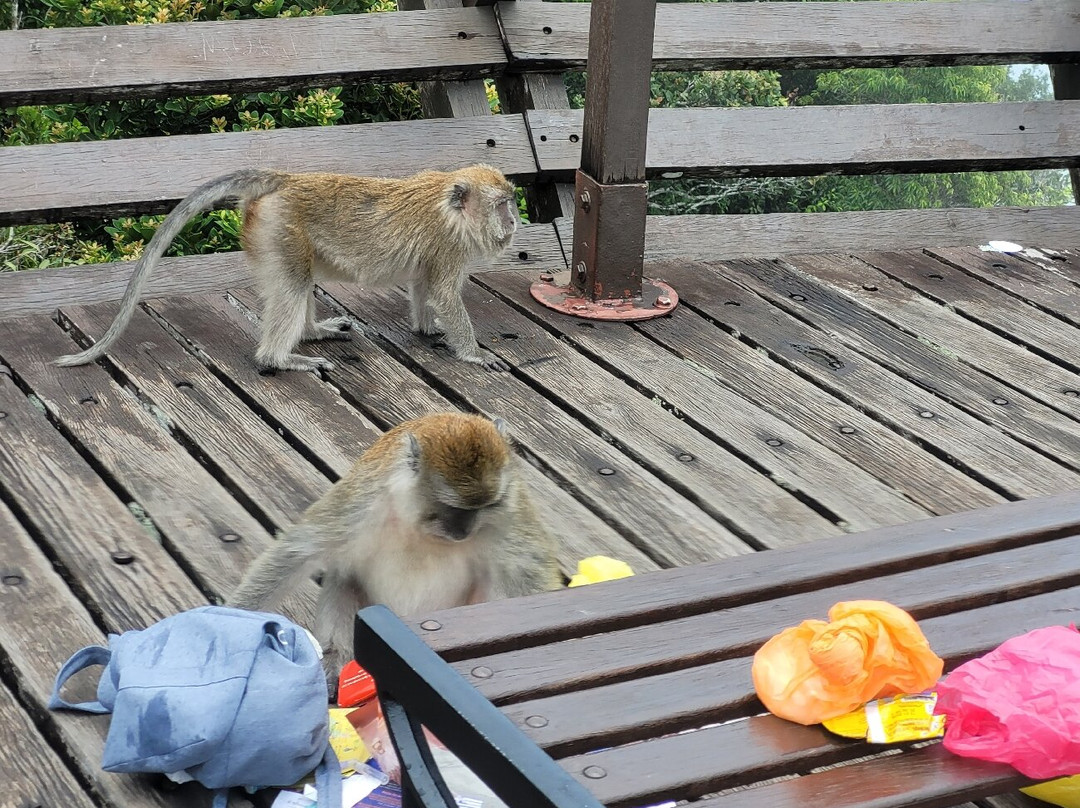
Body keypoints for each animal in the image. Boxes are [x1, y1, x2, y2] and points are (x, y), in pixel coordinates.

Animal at [55, 166, 519, 373]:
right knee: (294, 284)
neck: (450, 207)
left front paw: (426, 327)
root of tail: (283, 179)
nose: (515, 220)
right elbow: (443, 293)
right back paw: (280, 358)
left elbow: (425, 285)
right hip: (279, 230)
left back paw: (312, 333)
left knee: (300, 278)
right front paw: (475, 354)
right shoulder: (450, 246)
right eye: (502, 204)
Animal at [226, 412, 563, 680]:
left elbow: (529, 568)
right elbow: (299, 550)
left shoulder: (510, 507)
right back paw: (337, 659)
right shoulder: (364, 500)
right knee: (343, 580)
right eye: (453, 507)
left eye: (487, 506)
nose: (462, 531)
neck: (419, 522)